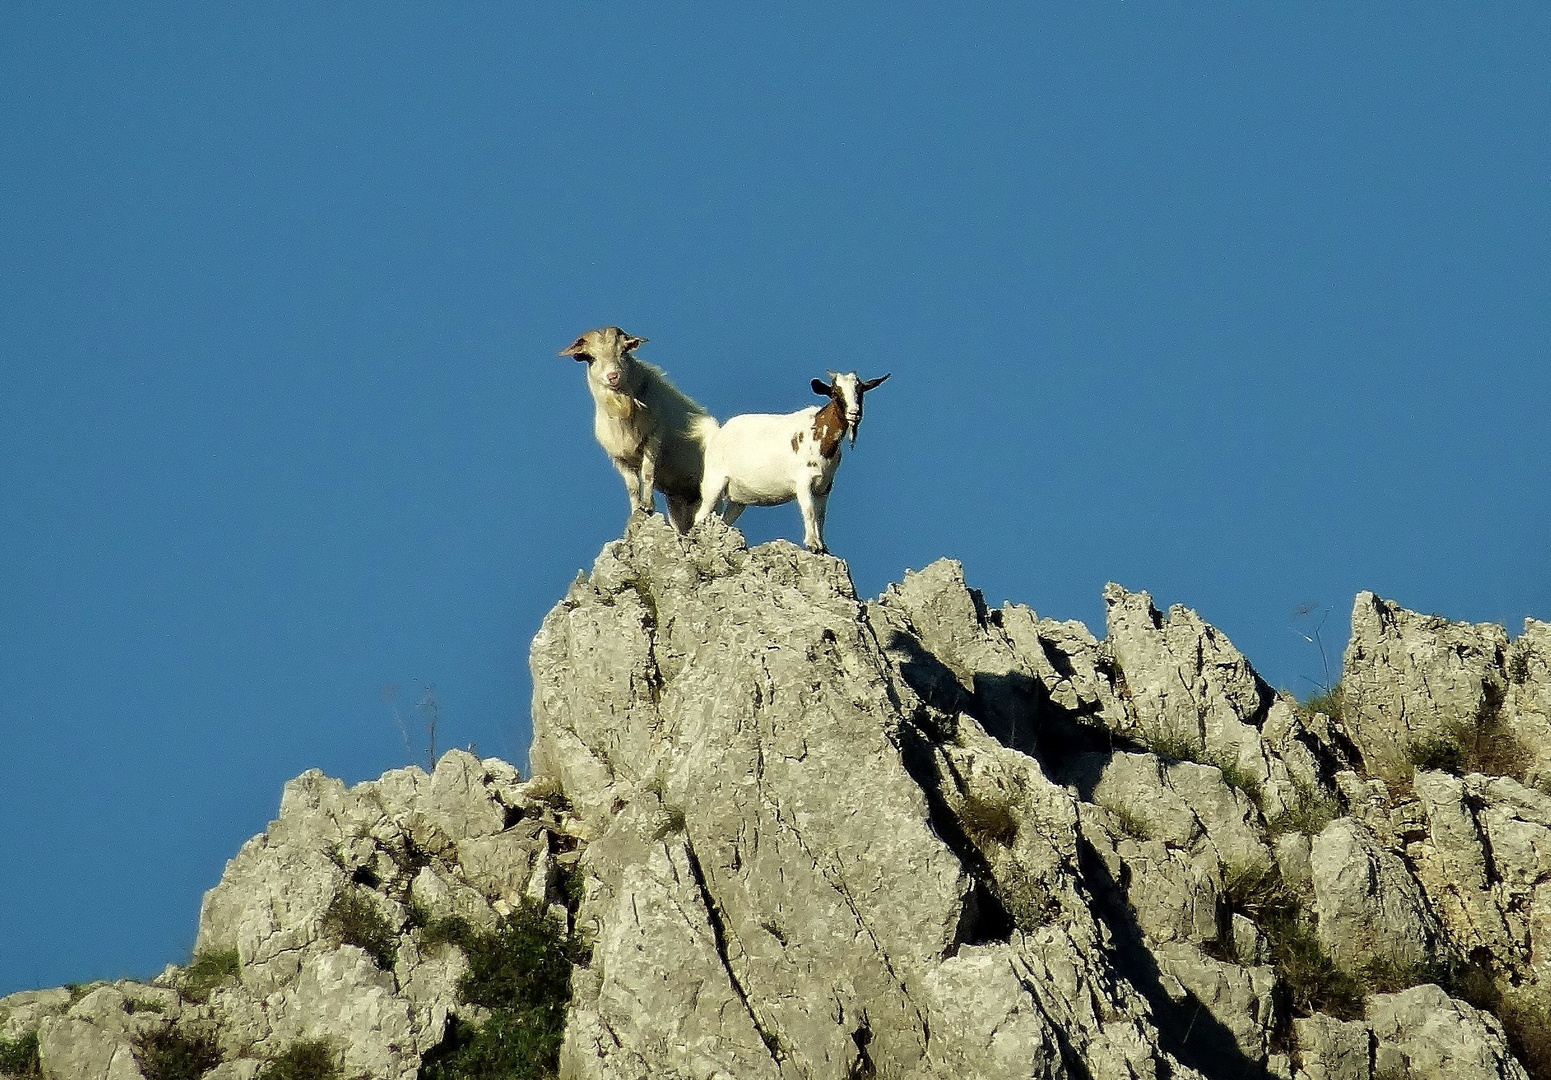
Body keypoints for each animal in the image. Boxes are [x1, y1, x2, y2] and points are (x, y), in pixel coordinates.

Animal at [564, 327, 719, 533]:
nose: (613, 376)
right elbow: (632, 486)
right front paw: (636, 511)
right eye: (591, 358)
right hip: (679, 501)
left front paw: (647, 506)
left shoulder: (653, 438)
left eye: (623, 352)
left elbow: (647, 474)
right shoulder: (619, 458)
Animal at [697, 373, 893, 555]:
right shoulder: (803, 481)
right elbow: (809, 510)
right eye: (836, 393)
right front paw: (812, 544)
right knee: (701, 514)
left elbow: (821, 516)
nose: (854, 414)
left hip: (738, 499)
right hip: (714, 481)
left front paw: (824, 547)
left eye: (860, 391)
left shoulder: (825, 486)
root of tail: (718, 433)